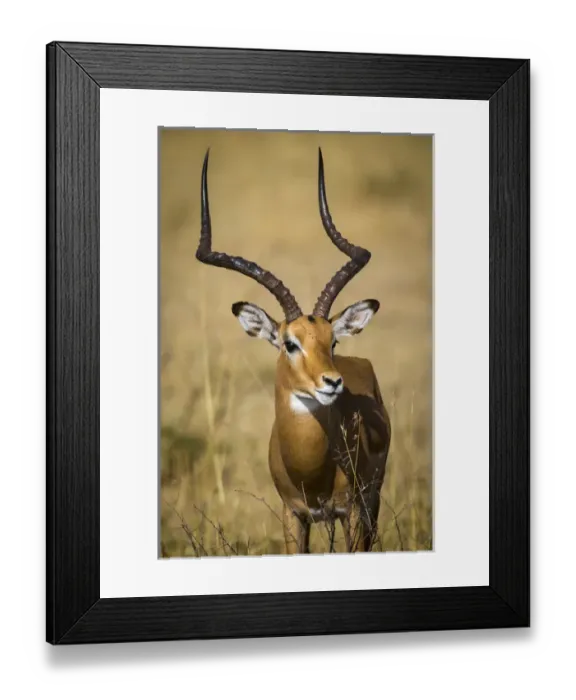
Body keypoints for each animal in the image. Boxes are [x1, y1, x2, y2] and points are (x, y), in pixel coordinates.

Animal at [196, 148, 391, 555]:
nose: (332, 382)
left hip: (372, 502)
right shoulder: (293, 514)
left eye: (332, 340)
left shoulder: (350, 511)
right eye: (290, 343)